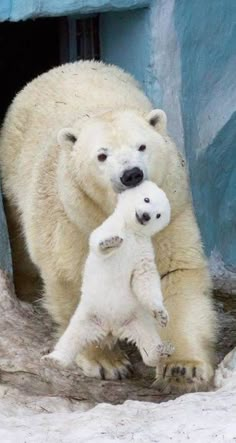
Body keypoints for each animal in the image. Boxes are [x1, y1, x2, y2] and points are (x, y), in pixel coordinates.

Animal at [0, 61, 216, 392]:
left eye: (142, 146)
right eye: (102, 155)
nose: (132, 174)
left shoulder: (172, 210)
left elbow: (173, 272)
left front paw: (183, 368)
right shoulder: (73, 219)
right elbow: (74, 279)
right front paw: (106, 362)